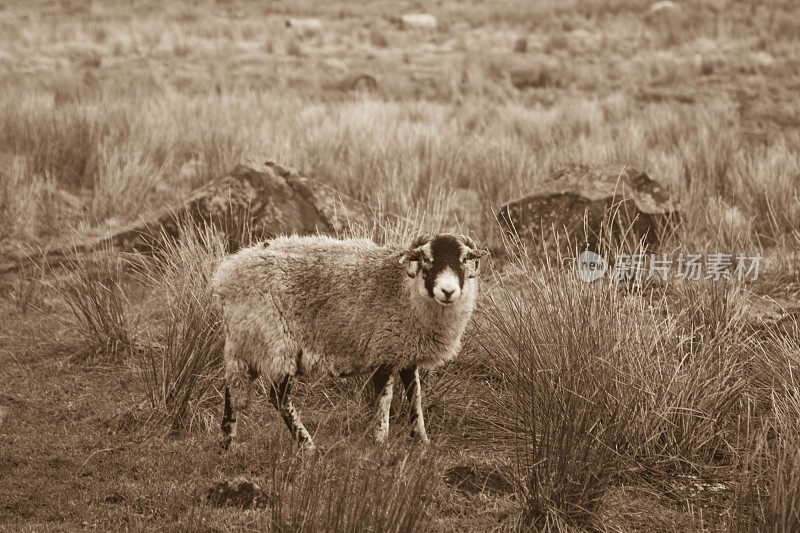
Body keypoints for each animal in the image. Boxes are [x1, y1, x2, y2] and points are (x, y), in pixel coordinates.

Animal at [211, 232, 488, 448]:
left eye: (464, 260)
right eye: (427, 259)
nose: (448, 291)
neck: (404, 290)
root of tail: (226, 275)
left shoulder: (405, 352)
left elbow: (415, 397)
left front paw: (421, 440)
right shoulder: (383, 350)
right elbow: (385, 400)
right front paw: (381, 441)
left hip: (245, 341)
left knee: (232, 389)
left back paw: (226, 443)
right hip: (274, 340)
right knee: (278, 398)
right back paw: (307, 446)